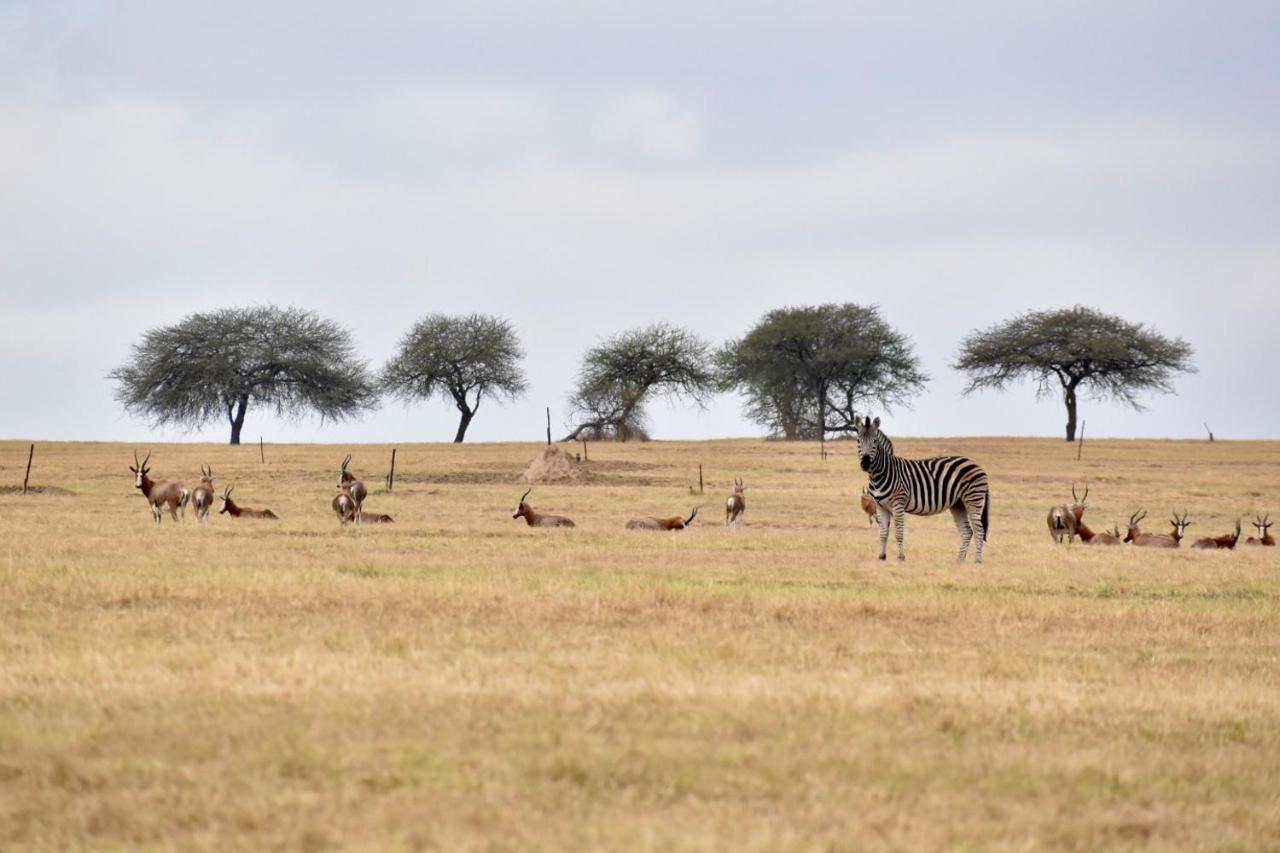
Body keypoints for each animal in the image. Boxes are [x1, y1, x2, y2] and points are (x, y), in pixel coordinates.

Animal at [860, 414, 988, 560]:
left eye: (874, 442)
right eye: (859, 441)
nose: (865, 464)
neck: (887, 471)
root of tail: (977, 465)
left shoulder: (897, 504)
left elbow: (897, 531)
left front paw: (900, 557)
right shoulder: (883, 506)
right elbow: (884, 531)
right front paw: (882, 556)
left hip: (973, 498)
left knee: (979, 530)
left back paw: (978, 560)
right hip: (958, 504)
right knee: (967, 531)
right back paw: (959, 560)